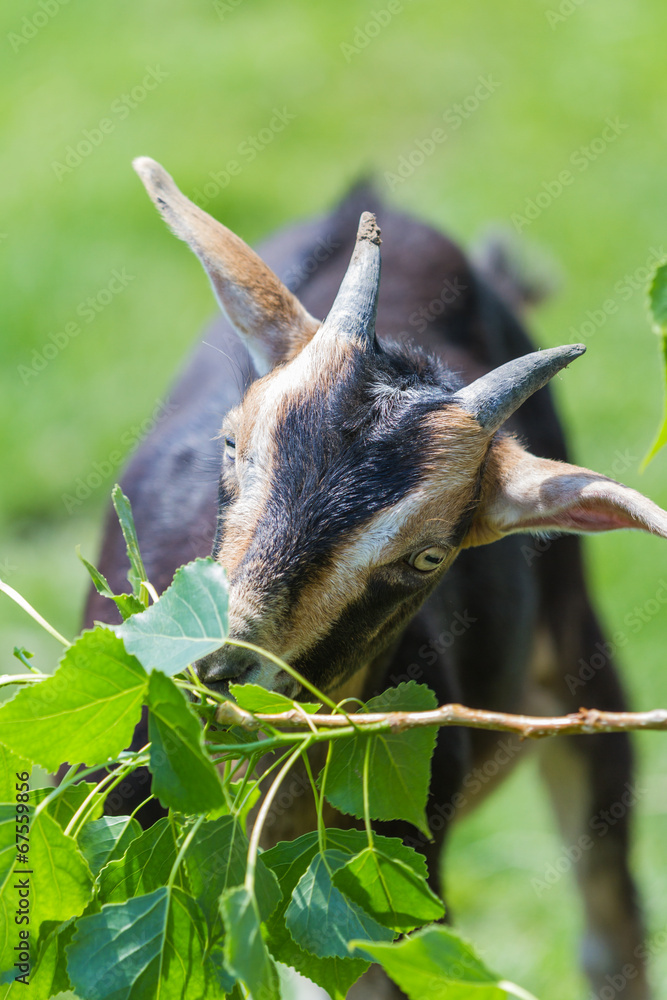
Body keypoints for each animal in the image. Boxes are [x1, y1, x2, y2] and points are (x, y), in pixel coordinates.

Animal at [86, 157, 667, 999]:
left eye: (427, 555)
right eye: (231, 445)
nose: (216, 672)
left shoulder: (390, 901)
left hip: (582, 678)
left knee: (607, 921)